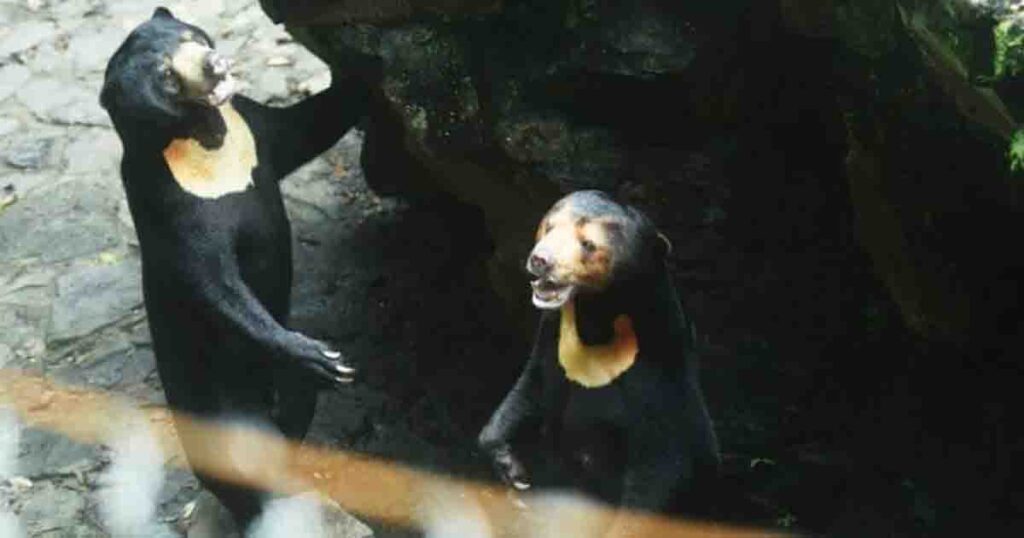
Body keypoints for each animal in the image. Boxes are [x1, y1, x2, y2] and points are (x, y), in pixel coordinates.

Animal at [99, 8, 365, 532]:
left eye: (190, 35)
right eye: (165, 76)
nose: (214, 64)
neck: (208, 140)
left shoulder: (254, 130)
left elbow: (310, 124)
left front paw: (364, 68)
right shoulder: (171, 203)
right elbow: (214, 283)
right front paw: (320, 356)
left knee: (295, 409)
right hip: (217, 403)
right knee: (243, 461)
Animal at [477, 190, 720, 536]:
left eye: (588, 244)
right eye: (549, 226)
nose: (541, 260)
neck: (597, 317)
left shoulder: (659, 369)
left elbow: (660, 461)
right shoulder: (553, 338)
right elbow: (530, 387)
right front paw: (513, 470)